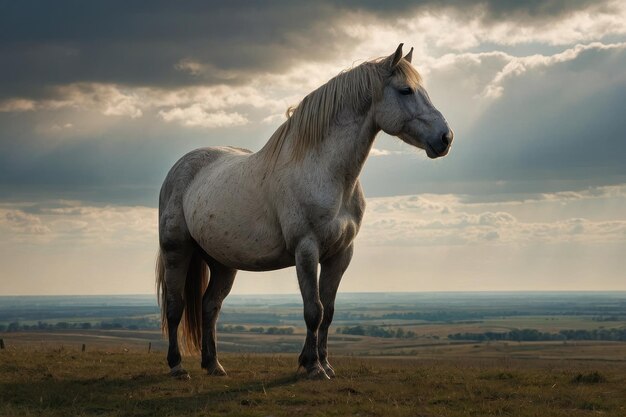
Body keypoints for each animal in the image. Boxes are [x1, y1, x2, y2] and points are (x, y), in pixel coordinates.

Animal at [154, 44, 450, 378]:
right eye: (405, 90)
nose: (446, 137)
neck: (325, 171)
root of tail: (180, 167)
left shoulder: (340, 255)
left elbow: (328, 311)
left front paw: (325, 363)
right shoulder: (306, 249)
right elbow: (313, 310)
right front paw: (312, 367)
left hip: (222, 262)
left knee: (210, 306)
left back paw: (214, 364)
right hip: (178, 250)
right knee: (175, 306)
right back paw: (177, 366)